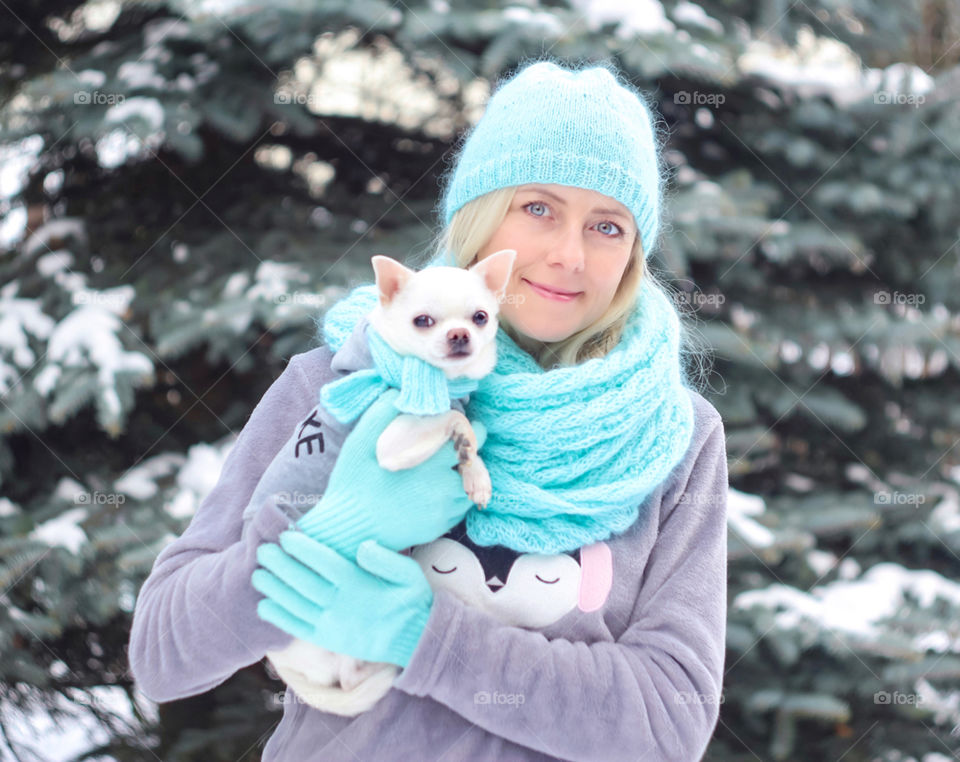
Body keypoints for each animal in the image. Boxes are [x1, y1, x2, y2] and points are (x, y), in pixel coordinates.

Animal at [262, 248, 516, 712]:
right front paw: (473, 462)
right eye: (423, 321)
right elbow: (453, 417)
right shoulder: (391, 443)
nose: (459, 335)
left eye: (480, 317)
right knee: (348, 675)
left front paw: (472, 468)